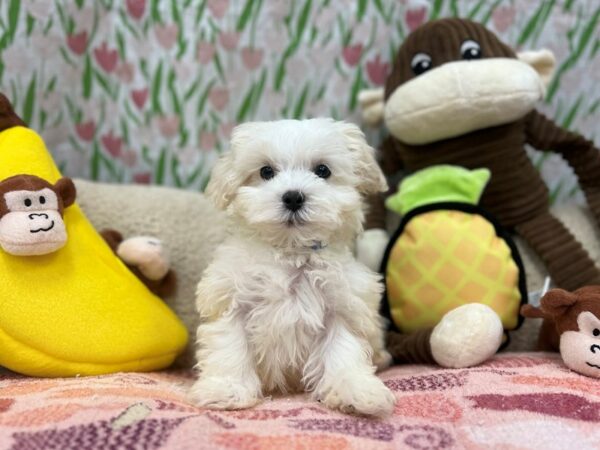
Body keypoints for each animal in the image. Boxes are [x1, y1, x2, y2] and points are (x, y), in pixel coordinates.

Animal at [190, 118, 396, 416]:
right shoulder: (231, 298)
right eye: (266, 172)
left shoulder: (342, 305)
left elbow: (343, 349)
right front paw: (226, 389)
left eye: (322, 170)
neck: (291, 252)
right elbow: (230, 345)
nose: (293, 197)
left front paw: (356, 390)